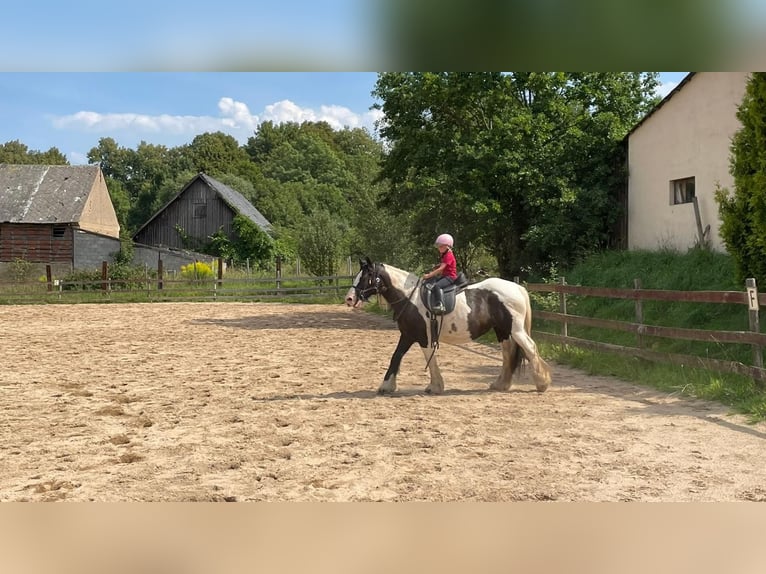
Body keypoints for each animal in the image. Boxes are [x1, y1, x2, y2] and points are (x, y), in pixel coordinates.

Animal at [346, 260, 552, 398]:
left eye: (366, 277)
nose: (349, 298)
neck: (410, 297)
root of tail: (517, 287)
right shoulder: (407, 335)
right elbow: (396, 357)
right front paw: (386, 386)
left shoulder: (424, 337)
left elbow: (430, 360)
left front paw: (435, 386)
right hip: (502, 330)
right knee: (508, 353)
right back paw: (500, 384)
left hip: (515, 329)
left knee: (530, 348)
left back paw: (542, 383)